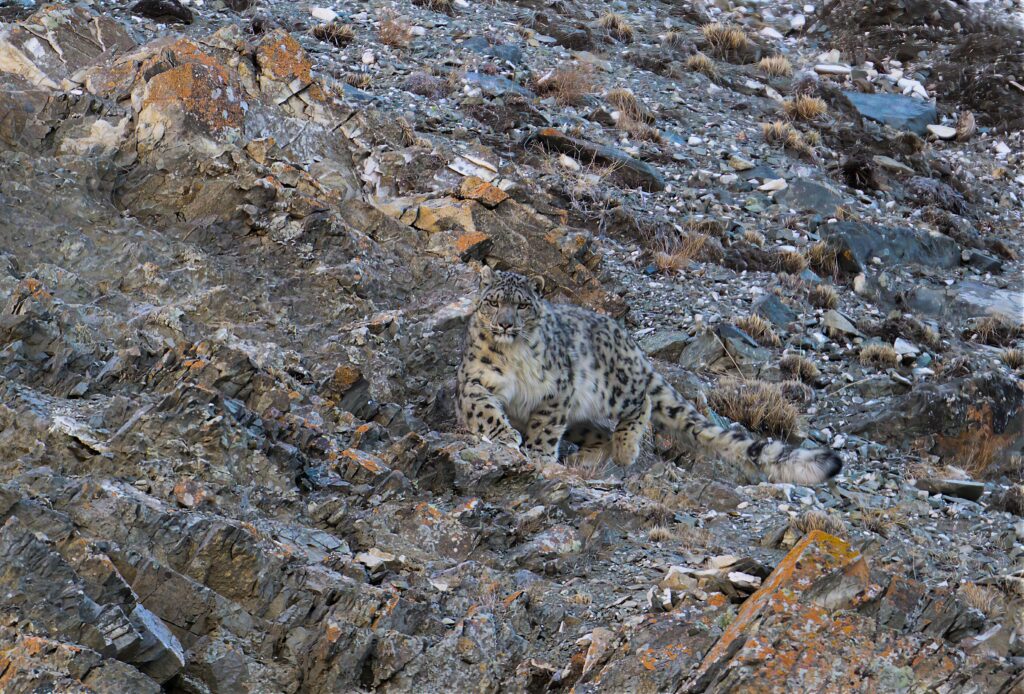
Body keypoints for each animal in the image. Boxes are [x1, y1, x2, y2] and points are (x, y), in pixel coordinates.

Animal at [455, 267, 842, 485]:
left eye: (522, 305)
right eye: (493, 302)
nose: (506, 324)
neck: (513, 357)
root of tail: (631, 343)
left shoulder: (555, 390)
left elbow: (545, 427)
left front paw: (537, 453)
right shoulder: (474, 381)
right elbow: (484, 410)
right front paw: (506, 436)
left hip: (610, 388)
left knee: (640, 403)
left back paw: (625, 450)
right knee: (599, 433)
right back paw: (587, 457)